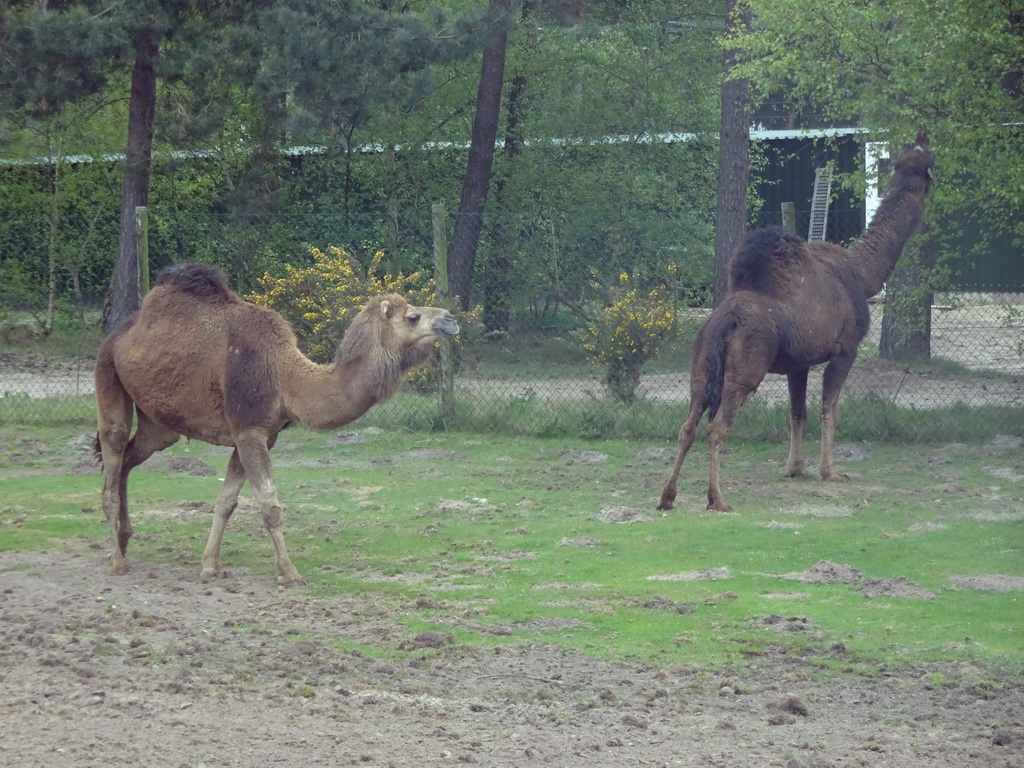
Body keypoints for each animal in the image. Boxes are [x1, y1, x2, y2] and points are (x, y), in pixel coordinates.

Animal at [92, 262, 460, 585]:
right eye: (413, 316)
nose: (450, 318)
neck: (286, 377)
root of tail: (118, 334)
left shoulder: (260, 435)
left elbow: (227, 502)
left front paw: (210, 566)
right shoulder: (248, 430)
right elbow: (270, 506)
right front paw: (289, 573)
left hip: (159, 424)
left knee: (128, 458)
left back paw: (124, 539)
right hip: (107, 373)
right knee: (114, 451)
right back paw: (117, 561)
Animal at [655, 135, 937, 514]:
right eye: (928, 160)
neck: (863, 276)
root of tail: (724, 320)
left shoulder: (798, 363)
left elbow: (797, 412)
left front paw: (795, 468)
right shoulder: (845, 348)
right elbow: (829, 408)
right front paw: (830, 472)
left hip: (701, 364)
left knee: (687, 425)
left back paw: (667, 497)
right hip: (745, 369)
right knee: (716, 427)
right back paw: (718, 499)